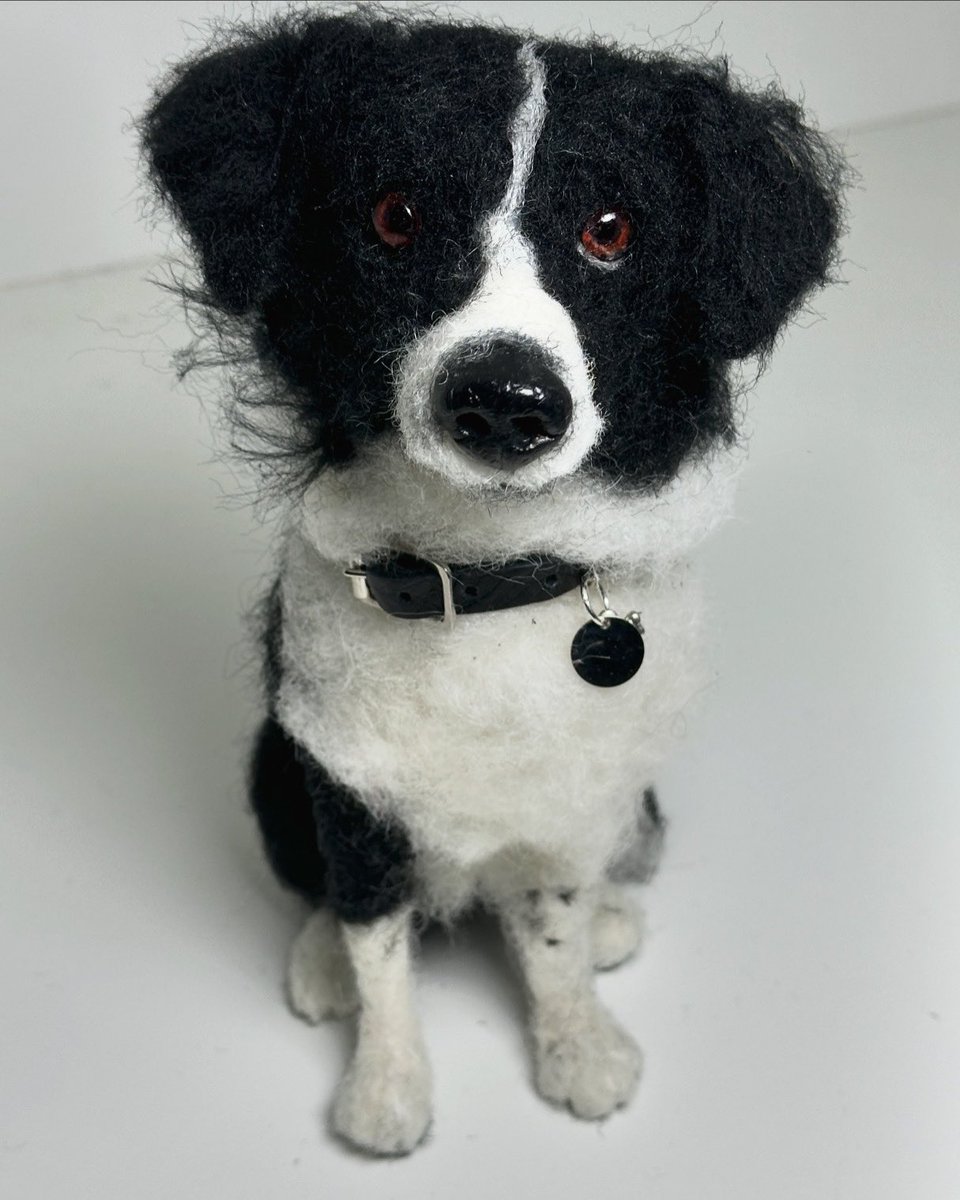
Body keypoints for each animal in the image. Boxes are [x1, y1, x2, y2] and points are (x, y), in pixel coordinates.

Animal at [142, 7, 840, 1152]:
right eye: (396, 215)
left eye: (611, 230)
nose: (506, 399)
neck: (482, 575)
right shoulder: (351, 793)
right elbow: (380, 946)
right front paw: (386, 1089)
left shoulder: (570, 798)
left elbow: (550, 936)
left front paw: (578, 1045)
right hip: (272, 775)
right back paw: (319, 961)